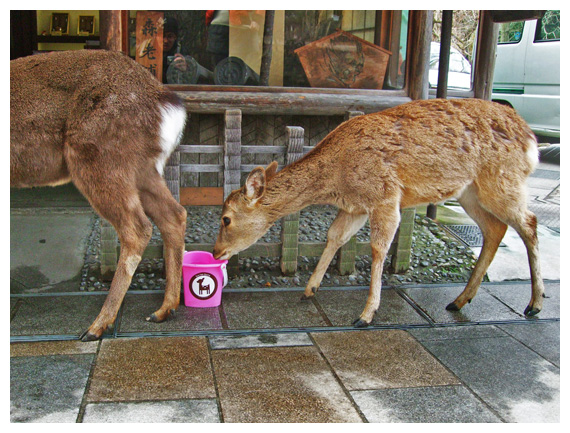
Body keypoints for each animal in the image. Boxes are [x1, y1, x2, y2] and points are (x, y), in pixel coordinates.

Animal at [11, 49, 187, 340]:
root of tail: (166, 101)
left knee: (137, 227)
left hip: (99, 156)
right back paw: (163, 310)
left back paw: (98, 325)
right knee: (174, 214)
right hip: (141, 167)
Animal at [212, 98, 540, 326]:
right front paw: (309, 289)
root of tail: (531, 138)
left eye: (226, 218)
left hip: (503, 181)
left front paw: (366, 314)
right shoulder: (355, 207)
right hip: (470, 192)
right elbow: (334, 236)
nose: (216, 252)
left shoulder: (385, 197)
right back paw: (459, 300)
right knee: (495, 229)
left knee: (529, 223)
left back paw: (534, 304)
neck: (337, 178)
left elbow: (378, 248)